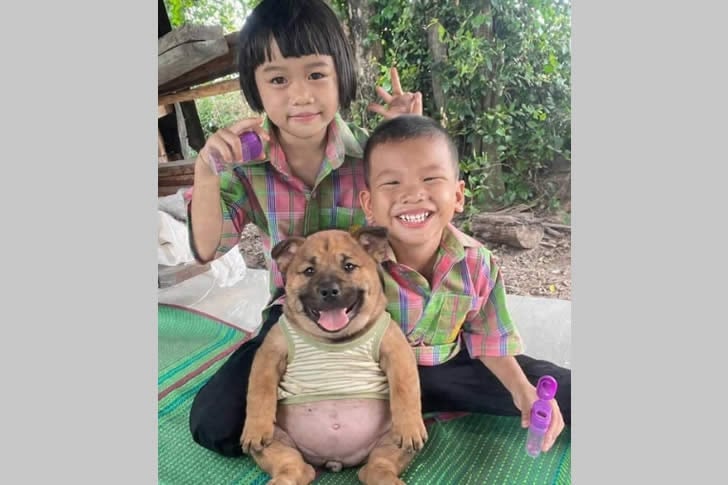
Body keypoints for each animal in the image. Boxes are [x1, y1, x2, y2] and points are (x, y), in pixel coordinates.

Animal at [240, 228, 428, 485]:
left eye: (349, 266)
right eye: (309, 271)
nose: (329, 291)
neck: (335, 340)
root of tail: (335, 460)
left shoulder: (396, 351)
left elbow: (404, 389)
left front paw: (410, 426)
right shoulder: (270, 354)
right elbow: (259, 392)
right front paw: (255, 429)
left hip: (391, 440)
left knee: (377, 466)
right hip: (276, 439)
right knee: (294, 466)